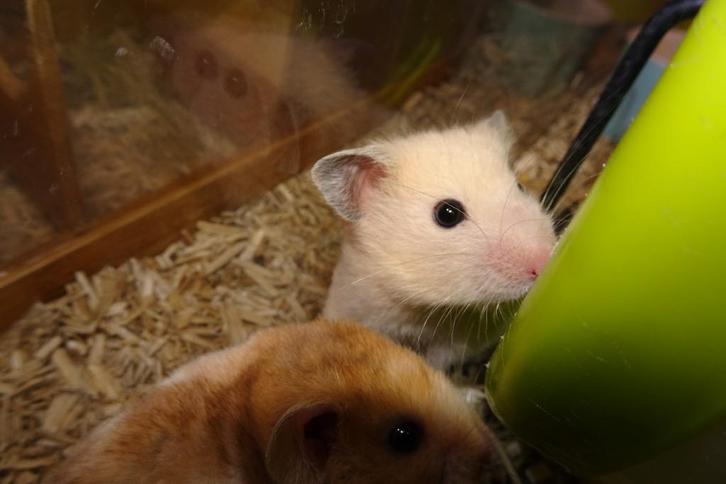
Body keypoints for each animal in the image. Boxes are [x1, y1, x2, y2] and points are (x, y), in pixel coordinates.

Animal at [312, 112, 556, 369]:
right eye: (447, 214)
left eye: (520, 186)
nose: (544, 262)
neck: (423, 309)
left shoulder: (460, 342)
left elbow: (438, 362)